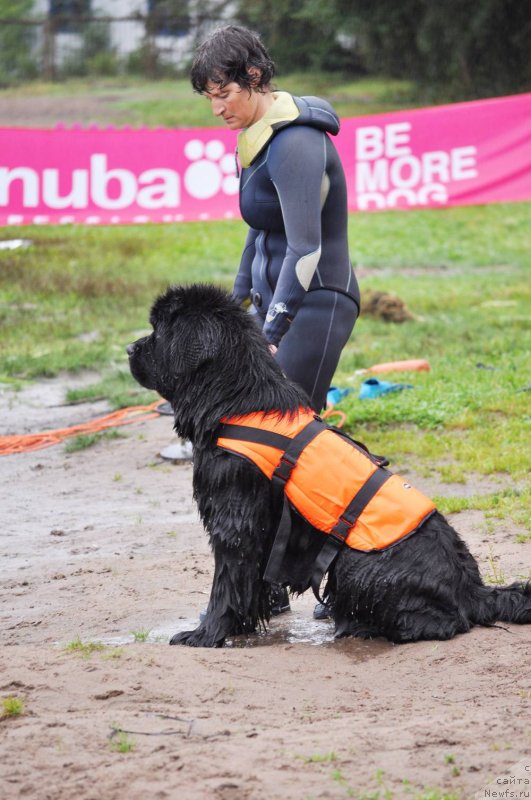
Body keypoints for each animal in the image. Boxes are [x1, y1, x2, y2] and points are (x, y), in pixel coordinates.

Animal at [129, 284, 531, 648]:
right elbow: (249, 584)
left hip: (357, 562)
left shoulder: (234, 518)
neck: (234, 402)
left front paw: (204, 634)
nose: (130, 348)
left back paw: (364, 626)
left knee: (448, 621)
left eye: (158, 332)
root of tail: (474, 588)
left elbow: (225, 582)